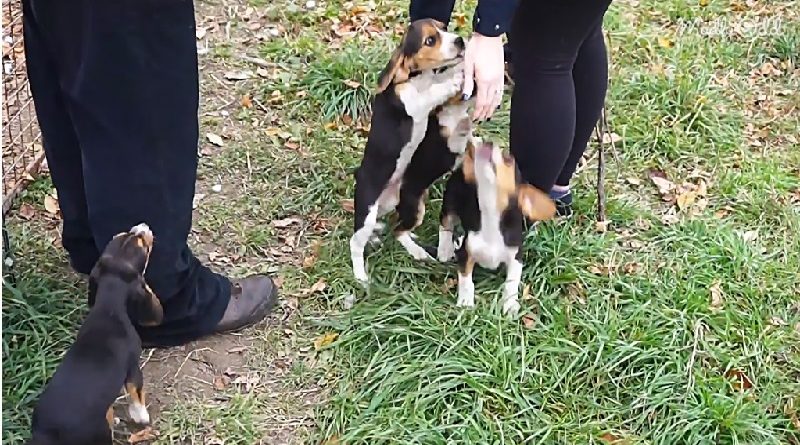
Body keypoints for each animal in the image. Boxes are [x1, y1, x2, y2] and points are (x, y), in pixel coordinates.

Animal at [27, 225, 162, 444]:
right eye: (142, 243)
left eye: (120, 235)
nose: (141, 226)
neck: (109, 308)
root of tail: (47, 434)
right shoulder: (133, 367)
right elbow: (137, 393)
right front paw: (141, 416)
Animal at [350, 19, 468, 282]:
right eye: (430, 40)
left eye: (444, 27)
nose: (460, 41)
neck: (421, 79)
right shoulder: (412, 102)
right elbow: (431, 94)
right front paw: (453, 81)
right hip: (368, 213)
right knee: (356, 242)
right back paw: (360, 275)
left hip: (408, 205)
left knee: (396, 225)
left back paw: (413, 247)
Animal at [438, 140, 556, 318]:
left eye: (508, 160)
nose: (488, 142)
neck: (490, 212)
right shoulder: (466, 254)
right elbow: (466, 281)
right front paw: (465, 302)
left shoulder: (516, 257)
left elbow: (512, 283)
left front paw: (510, 305)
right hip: (449, 204)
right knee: (445, 225)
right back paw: (444, 250)